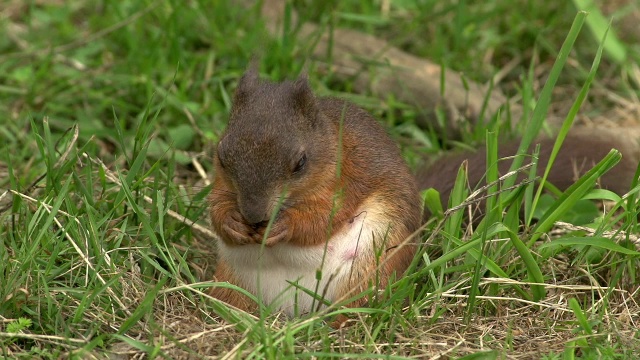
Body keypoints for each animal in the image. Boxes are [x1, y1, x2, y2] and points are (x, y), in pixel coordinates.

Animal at [209, 70, 636, 318]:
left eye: (300, 163)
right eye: (221, 155)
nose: (255, 216)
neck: (331, 144)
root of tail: (292, 315)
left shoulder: (347, 181)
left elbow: (321, 220)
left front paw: (282, 227)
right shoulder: (219, 186)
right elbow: (214, 209)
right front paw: (230, 223)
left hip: (369, 271)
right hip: (233, 284)